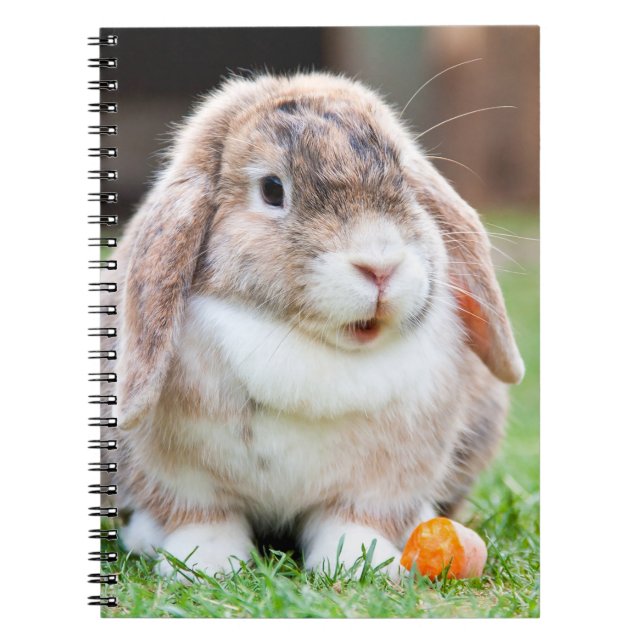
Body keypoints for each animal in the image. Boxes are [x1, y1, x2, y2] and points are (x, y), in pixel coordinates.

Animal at [101, 71, 524, 580]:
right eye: (272, 190)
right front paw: (205, 565)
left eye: (404, 179)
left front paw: (363, 565)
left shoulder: (380, 483)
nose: (380, 266)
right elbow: (204, 519)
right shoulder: (186, 479)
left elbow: (355, 520)